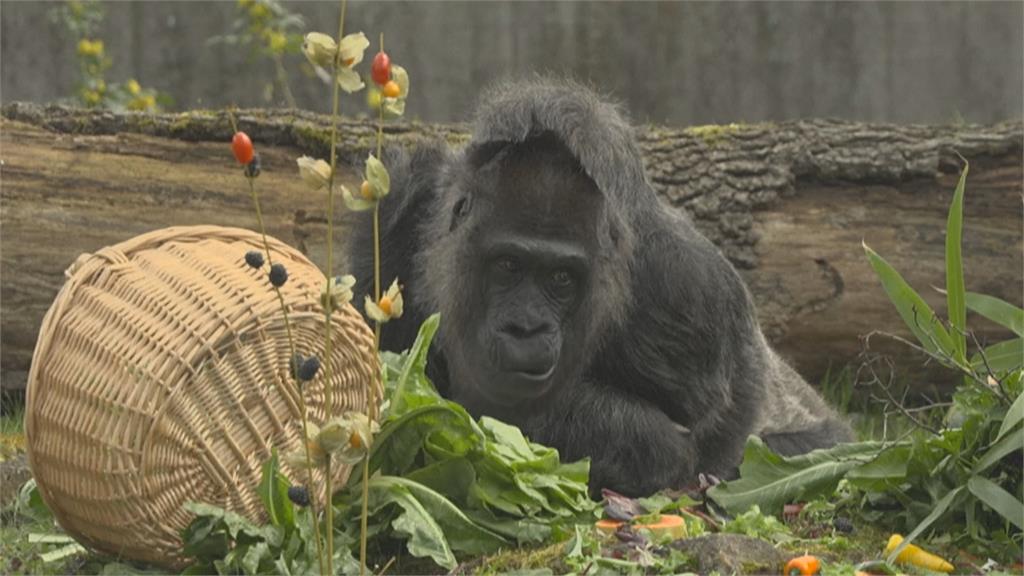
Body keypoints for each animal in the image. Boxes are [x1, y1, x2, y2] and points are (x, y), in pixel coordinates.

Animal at [348, 78, 851, 496]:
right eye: (508, 265)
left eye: (561, 278)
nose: (526, 328)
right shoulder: (396, 206)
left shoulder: (688, 289)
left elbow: (688, 450)